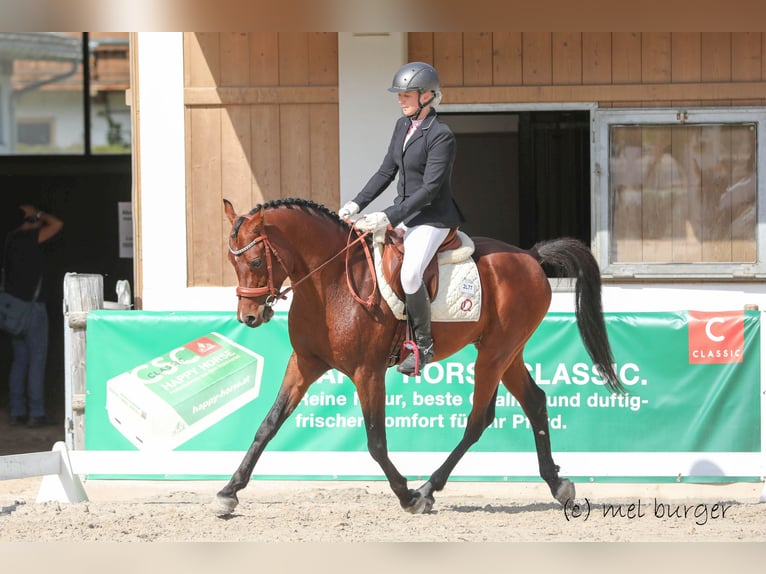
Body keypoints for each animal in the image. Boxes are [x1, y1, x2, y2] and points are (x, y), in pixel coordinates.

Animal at [215, 197, 624, 516]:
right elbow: (268, 425)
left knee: (479, 419)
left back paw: (428, 489)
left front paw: (407, 495)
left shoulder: (368, 373)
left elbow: (376, 443)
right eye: (232, 263)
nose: (249, 318)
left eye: (255, 262)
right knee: (535, 402)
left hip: (495, 354)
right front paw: (228, 492)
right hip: (507, 353)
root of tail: (529, 255)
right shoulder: (304, 363)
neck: (329, 283)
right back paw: (558, 485)